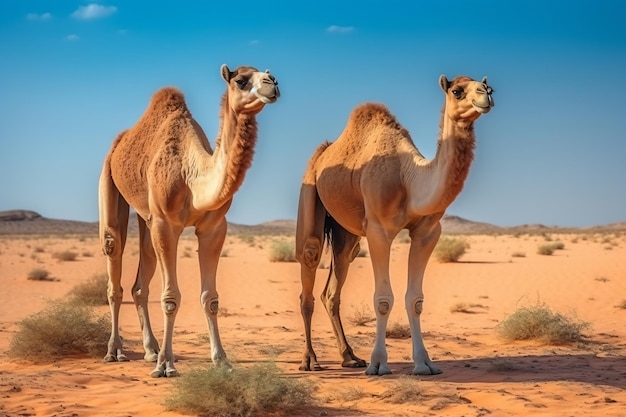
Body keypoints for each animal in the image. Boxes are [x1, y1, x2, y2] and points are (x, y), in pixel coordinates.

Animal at [98, 64, 280, 376]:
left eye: (268, 74)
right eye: (241, 80)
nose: (273, 84)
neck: (192, 177)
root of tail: (119, 143)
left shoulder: (214, 228)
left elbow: (210, 299)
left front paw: (221, 360)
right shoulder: (165, 224)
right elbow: (171, 298)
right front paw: (166, 365)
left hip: (146, 217)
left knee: (141, 277)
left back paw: (149, 350)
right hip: (109, 179)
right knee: (114, 258)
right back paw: (116, 351)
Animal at [294, 74, 494, 374]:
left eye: (485, 85)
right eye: (457, 91)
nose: (486, 94)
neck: (409, 178)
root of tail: (323, 152)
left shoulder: (428, 233)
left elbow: (416, 299)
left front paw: (424, 363)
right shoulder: (379, 230)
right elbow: (383, 299)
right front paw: (378, 364)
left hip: (345, 230)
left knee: (337, 275)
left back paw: (350, 356)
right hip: (310, 187)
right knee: (310, 255)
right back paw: (310, 359)